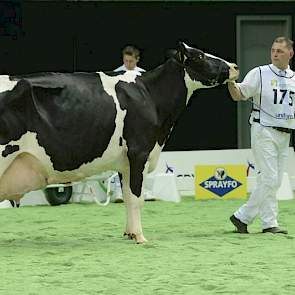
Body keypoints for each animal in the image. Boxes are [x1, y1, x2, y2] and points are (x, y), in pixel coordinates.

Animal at [0, 43, 238, 243]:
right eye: (200, 55)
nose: (234, 66)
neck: (150, 95)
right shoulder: (139, 152)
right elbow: (136, 198)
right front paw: (140, 237)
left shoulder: (125, 162)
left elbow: (127, 197)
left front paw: (129, 233)